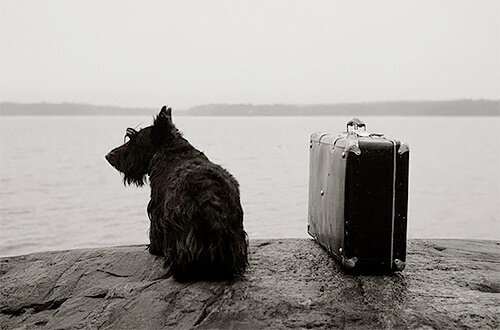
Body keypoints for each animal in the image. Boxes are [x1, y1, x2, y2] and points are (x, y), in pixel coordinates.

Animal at [105, 106, 248, 282]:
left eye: (134, 140)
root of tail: (209, 194)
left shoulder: (156, 209)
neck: (173, 151)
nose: (109, 156)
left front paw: (154, 248)